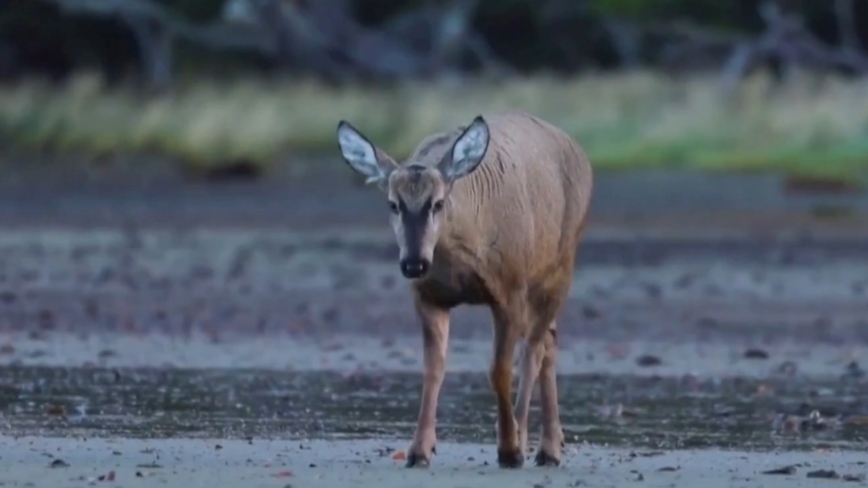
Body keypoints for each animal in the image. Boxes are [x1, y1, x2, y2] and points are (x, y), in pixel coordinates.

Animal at [336, 109, 592, 468]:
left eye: (438, 203)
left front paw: (509, 448)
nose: (413, 263)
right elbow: (433, 369)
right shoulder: (428, 297)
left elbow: (499, 370)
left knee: (535, 349)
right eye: (393, 204)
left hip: (561, 265)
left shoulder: (509, 289)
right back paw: (549, 447)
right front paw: (419, 450)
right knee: (549, 342)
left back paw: (534, 442)